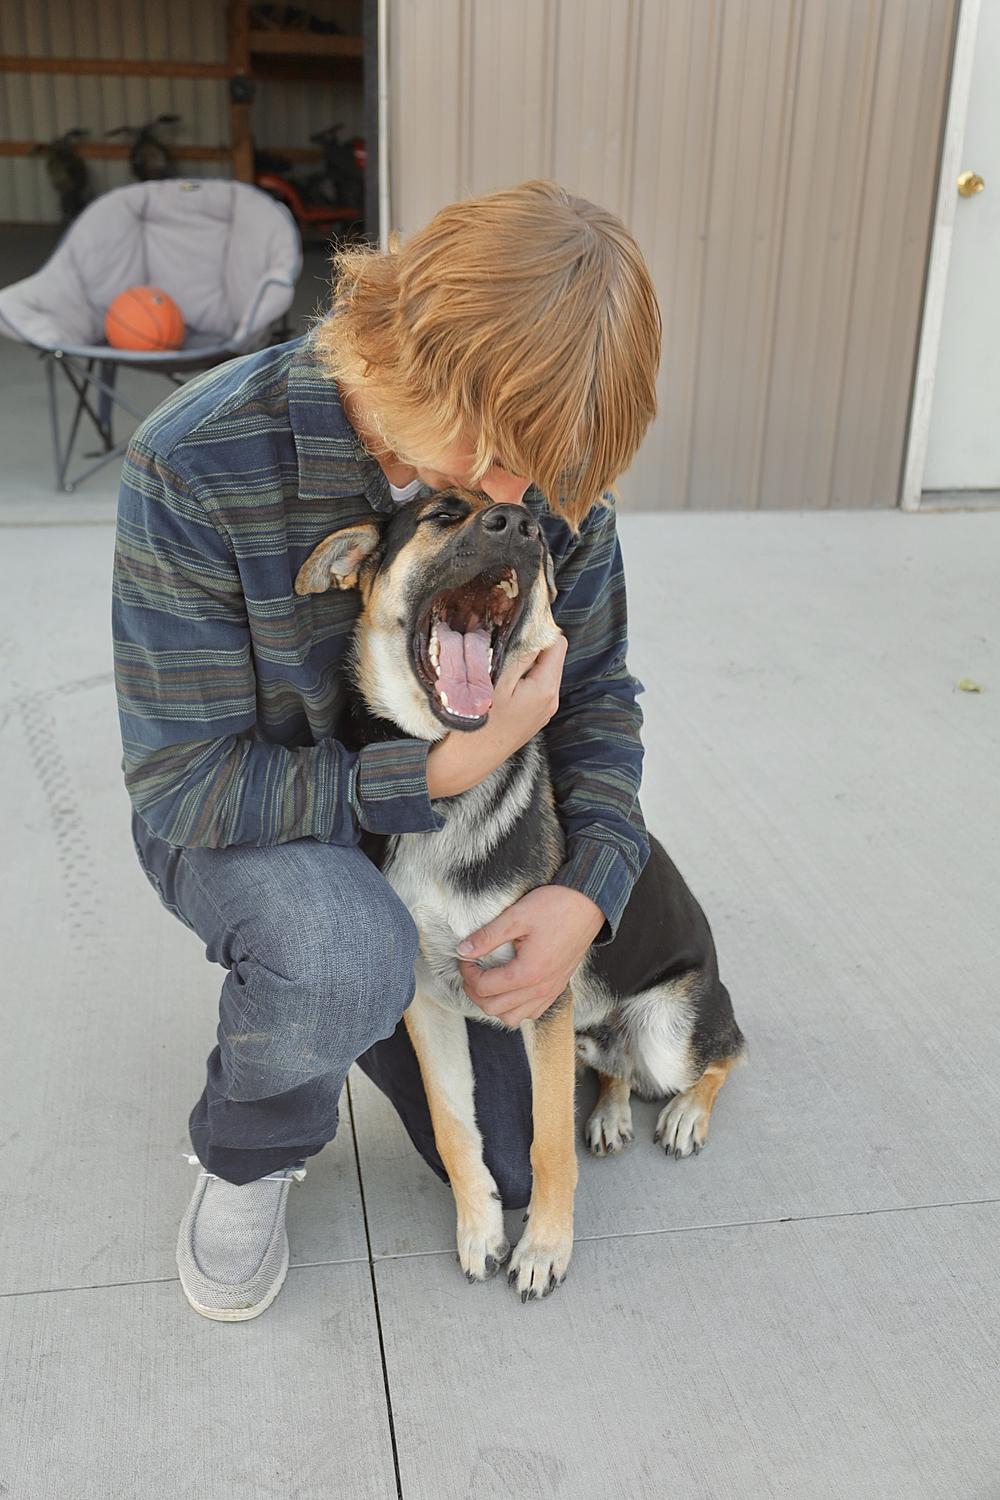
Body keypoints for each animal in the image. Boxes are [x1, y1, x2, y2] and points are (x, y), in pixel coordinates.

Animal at [294, 487, 746, 1302]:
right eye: (440, 516)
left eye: (526, 523)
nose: (523, 527)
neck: (448, 798)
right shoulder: (428, 1002)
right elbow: (455, 1126)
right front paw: (480, 1229)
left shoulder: (543, 994)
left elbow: (545, 1143)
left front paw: (543, 1248)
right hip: (589, 1031)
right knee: (612, 1067)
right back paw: (610, 1114)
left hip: (667, 1029)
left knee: (725, 1051)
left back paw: (684, 1116)